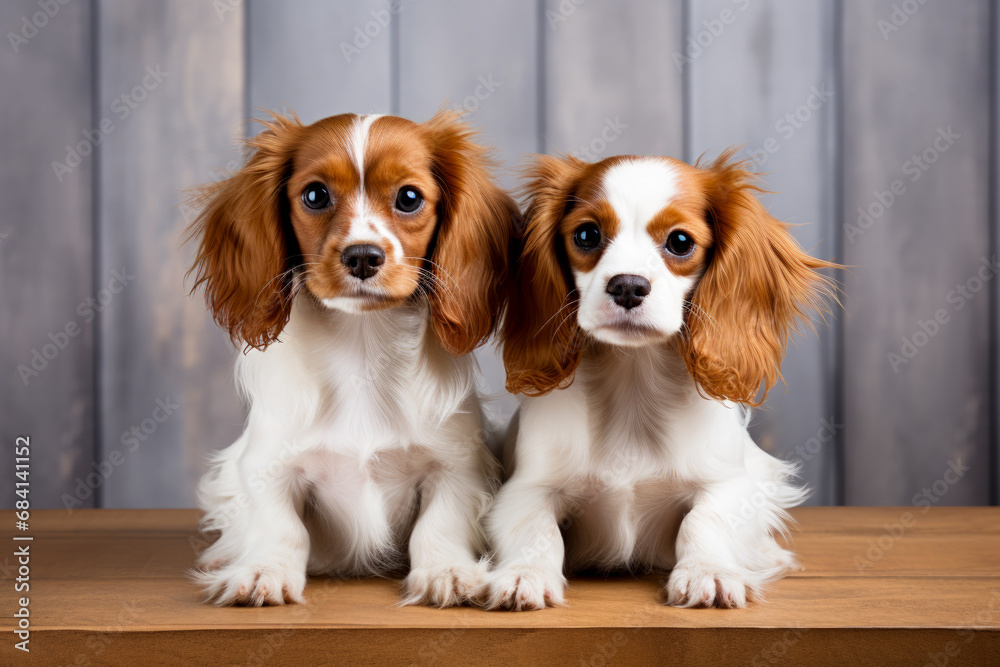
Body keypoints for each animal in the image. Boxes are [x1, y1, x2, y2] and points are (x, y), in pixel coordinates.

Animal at [184, 112, 520, 608]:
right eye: (315, 195)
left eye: (409, 197)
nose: (362, 256)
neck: (362, 349)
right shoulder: (268, 465)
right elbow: (279, 526)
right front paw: (264, 571)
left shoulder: (456, 466)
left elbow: (437, 525)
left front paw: (447, 572)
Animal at [484, 151, 836, 612]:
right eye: (586, 234)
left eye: (680, 242)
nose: (628, 286)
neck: (633, 381)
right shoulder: (524, 488)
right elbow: (536, 528)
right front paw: (524, 573)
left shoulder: (730, 485)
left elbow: (703, 519)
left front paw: (709, 572)